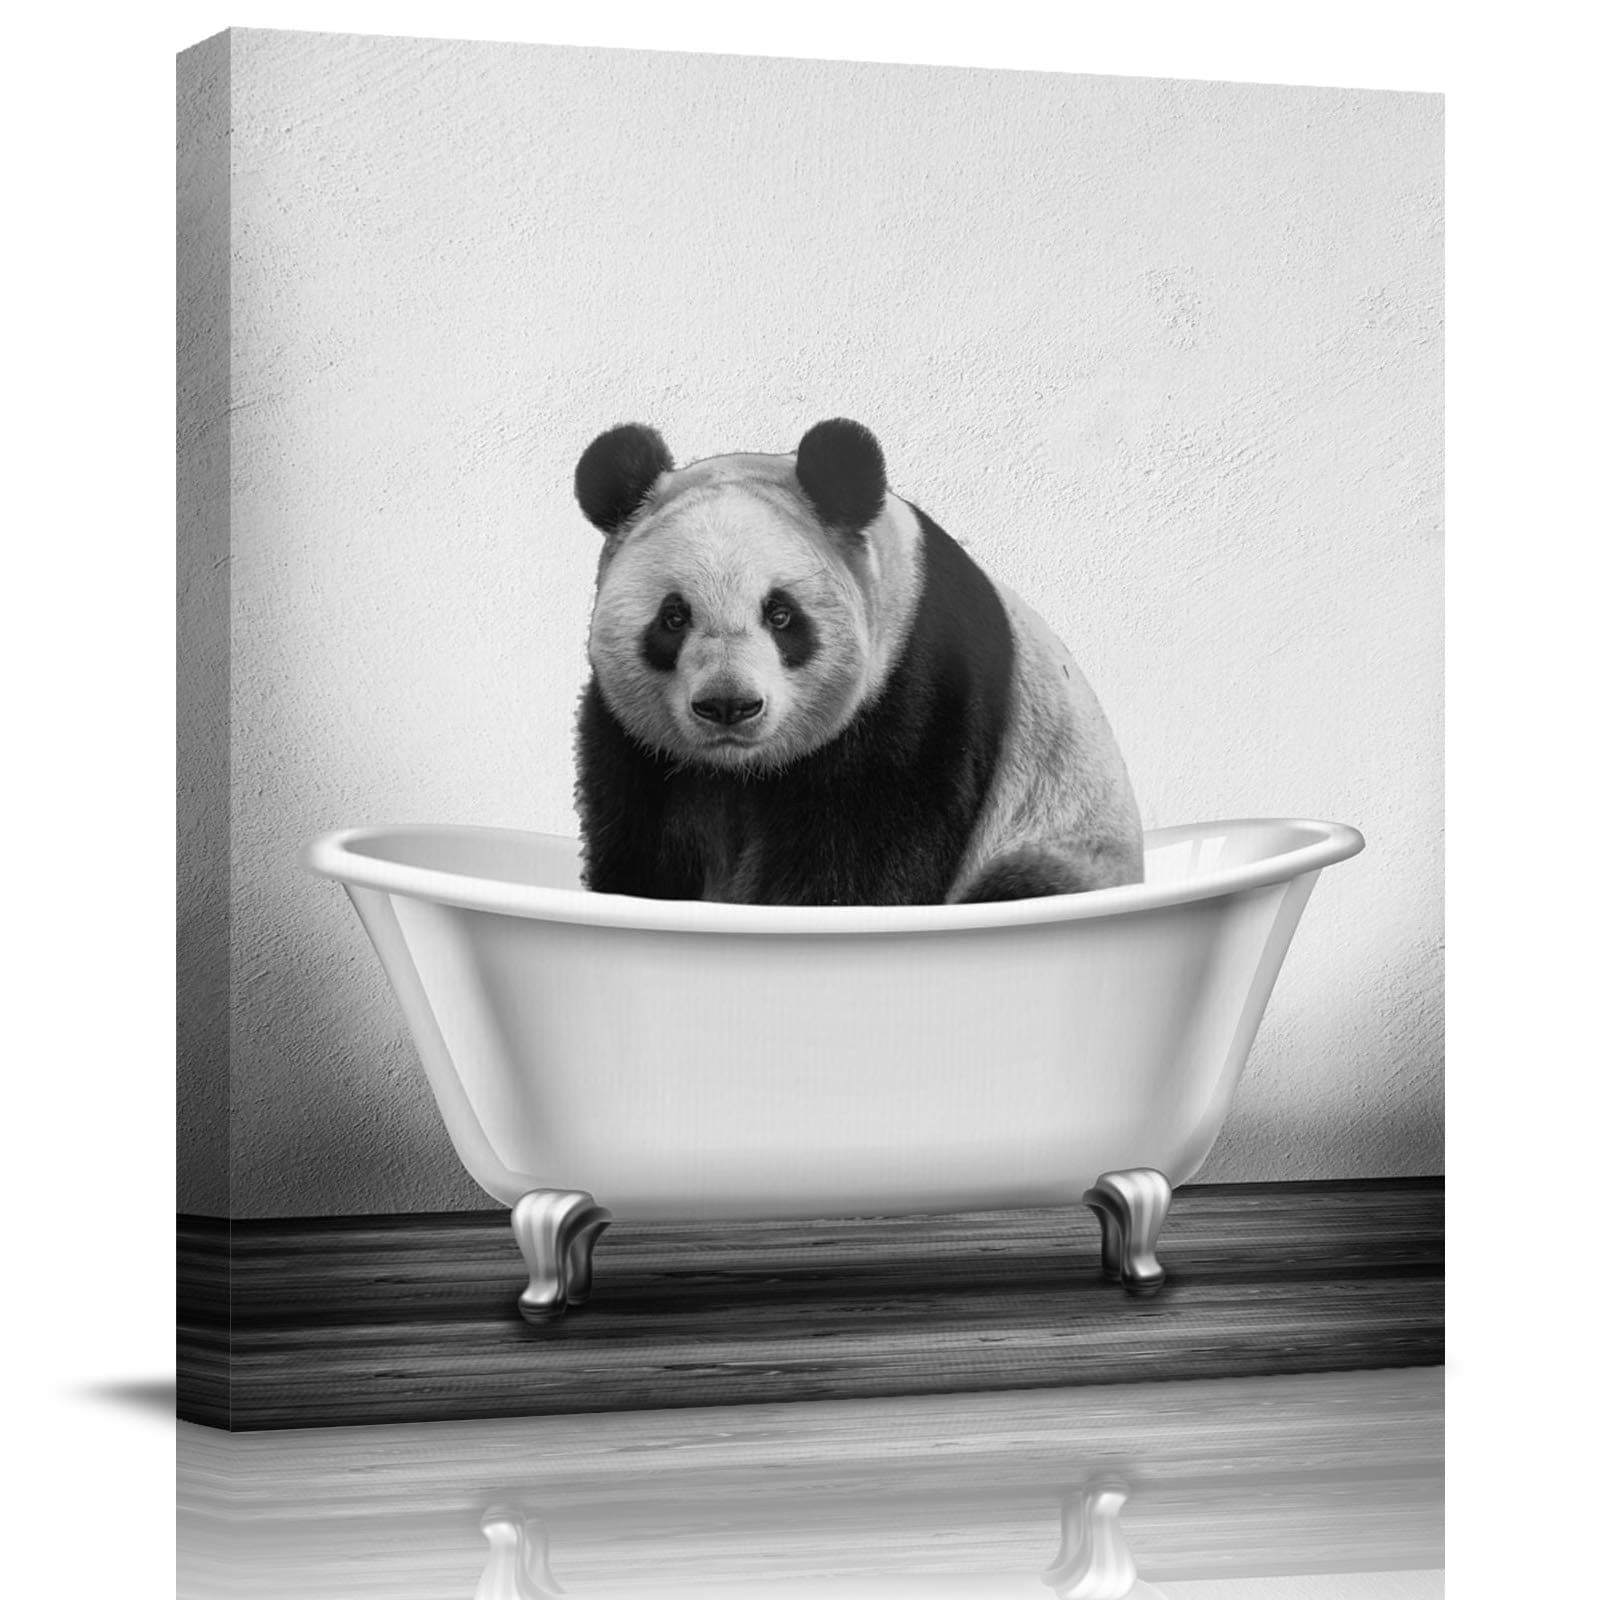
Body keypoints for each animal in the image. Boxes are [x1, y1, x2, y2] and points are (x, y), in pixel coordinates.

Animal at [571, 418, 1143, 906]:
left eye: (780, 614)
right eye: (673, 617)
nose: (728, 705)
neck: (740, 770)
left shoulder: (915, 688)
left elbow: (864, 854)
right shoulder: (638, 746)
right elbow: (644, 847)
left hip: (1063, 838)